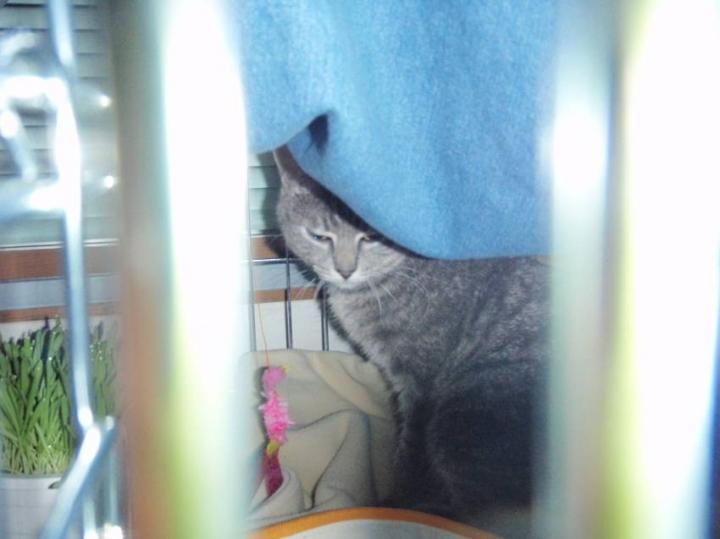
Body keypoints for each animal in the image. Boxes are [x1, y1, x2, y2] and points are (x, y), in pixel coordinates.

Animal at [274, 146, 549, 525]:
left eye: (371, 238)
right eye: (319, 236)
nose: (345, 270)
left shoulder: (422, 384)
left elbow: (411, 454)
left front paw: (396, 504)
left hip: (463, 418)